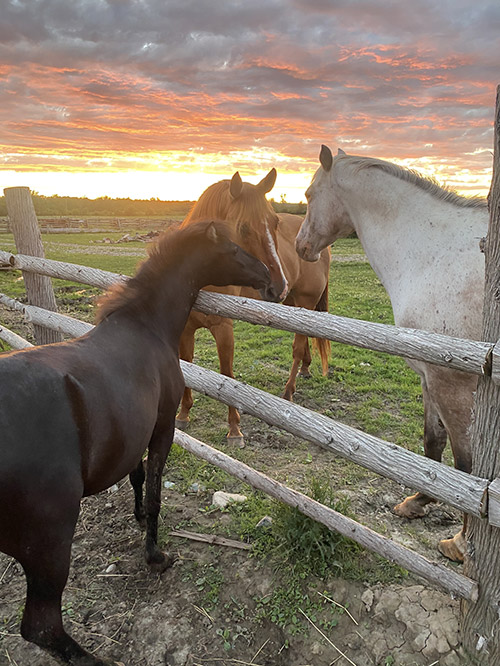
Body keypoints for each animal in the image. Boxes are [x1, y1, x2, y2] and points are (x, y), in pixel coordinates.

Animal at [0, 220, 272, 660]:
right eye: (233, 249)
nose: (267, 277)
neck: (146, 326)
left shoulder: (134, 433)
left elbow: (138, 477)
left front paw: (139, 515)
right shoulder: (162, 429)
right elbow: (156, 489)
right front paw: (156, 555)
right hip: (50, 547)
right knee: (42, 627)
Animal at [176, 169, 332, 444]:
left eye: (274, 223)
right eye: (243, 227)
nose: (277, 284)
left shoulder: (224, 328)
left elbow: (226, 375)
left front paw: (234, 429)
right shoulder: (187, 329)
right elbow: (188, 365)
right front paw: (184, 414)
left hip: (305, 301)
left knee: (298, 346)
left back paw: (288, 391)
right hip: (295, 304)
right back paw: (305, 370)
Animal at [294, 145, 486, 560]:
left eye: (309, 195)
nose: (301, 246)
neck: (431, 252)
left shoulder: (454, 385)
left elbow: (467, 467)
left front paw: (462, 541)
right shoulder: (429, 377)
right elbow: (433, 444)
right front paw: (418, 502)